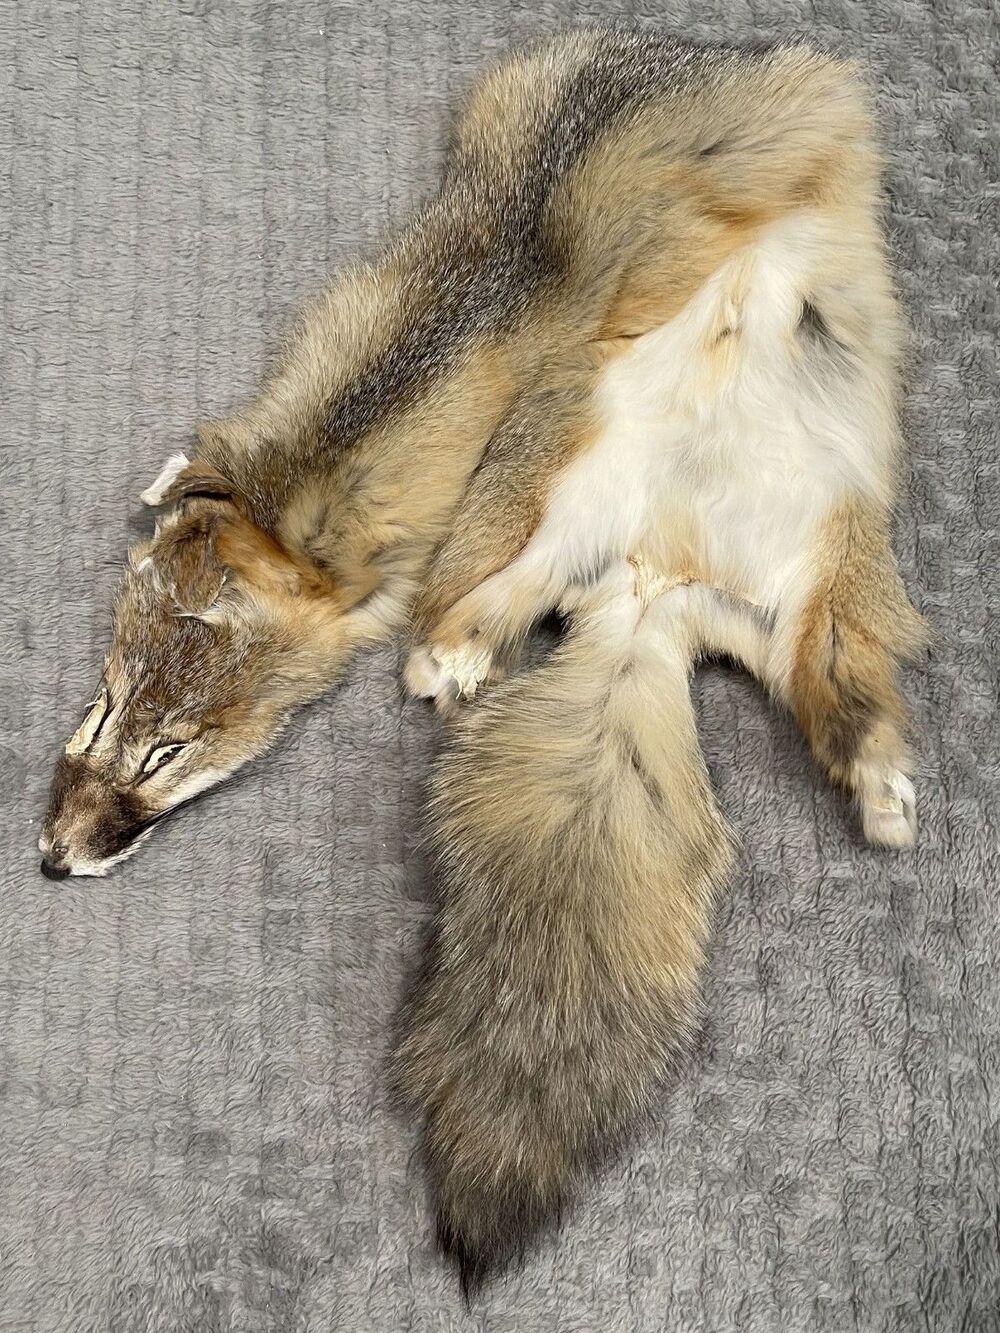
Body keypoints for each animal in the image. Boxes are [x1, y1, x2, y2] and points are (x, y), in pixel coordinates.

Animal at [39, 29, 925, 1287]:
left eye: (169, 751)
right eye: (103, 708)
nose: (50, 862)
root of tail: (659, 583)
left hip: (813, 562)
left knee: (844, 699)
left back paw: (877, 781)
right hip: (579, 506)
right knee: (522, 607)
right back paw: (455, 661)